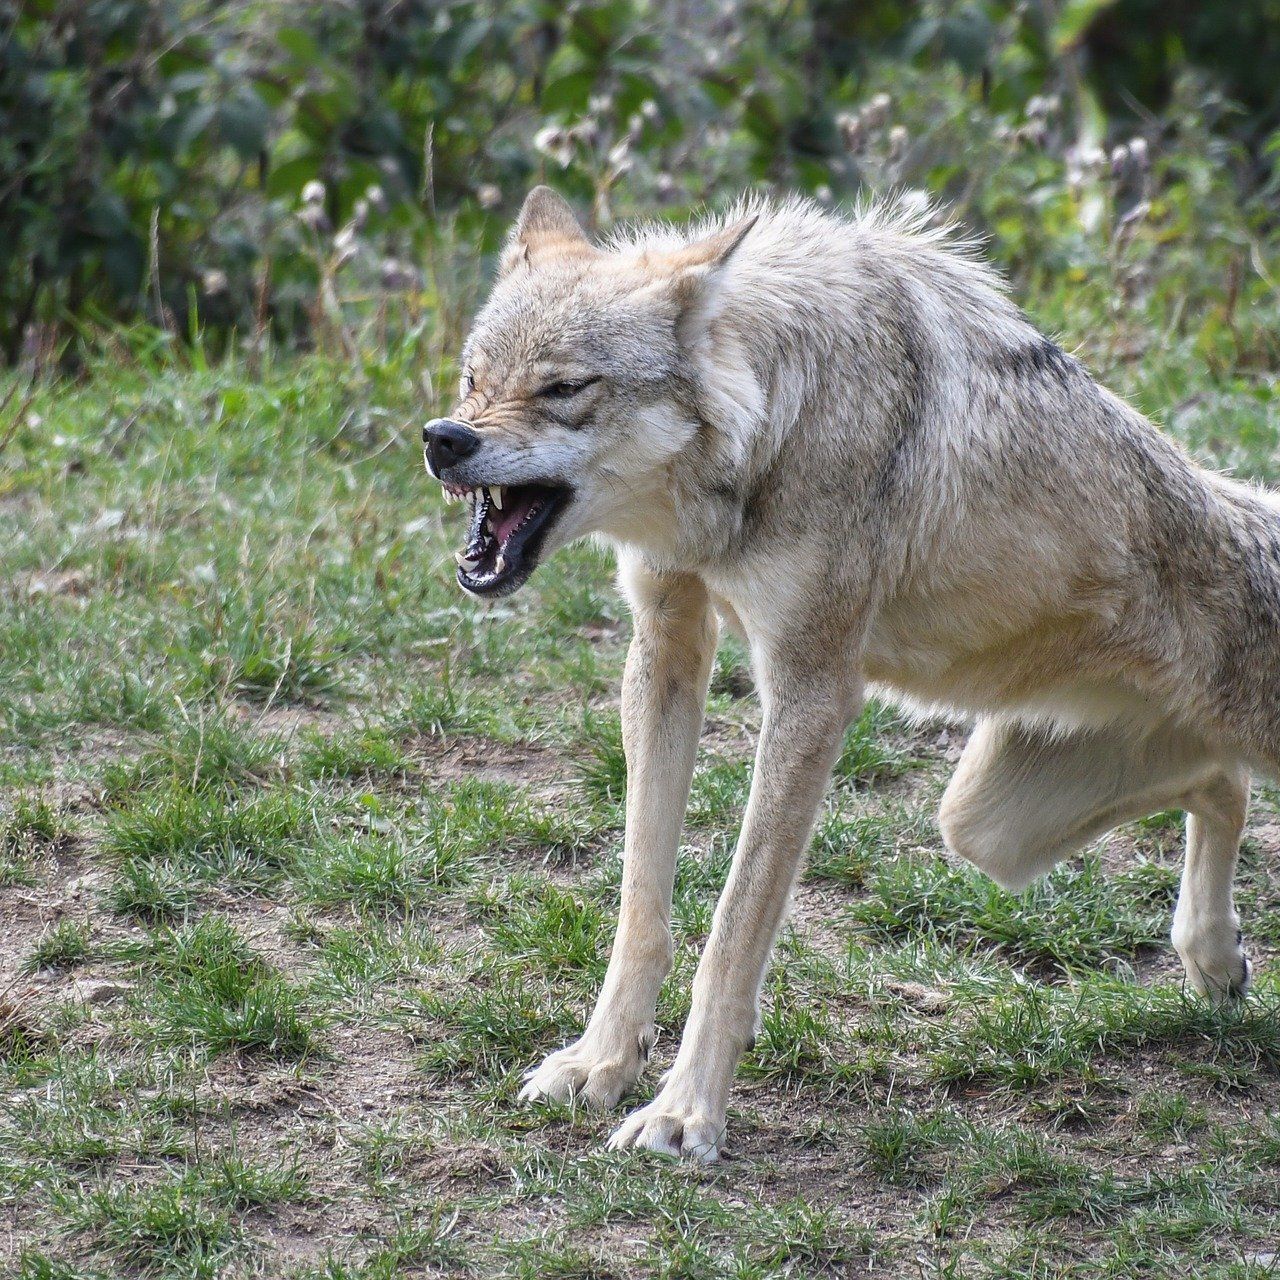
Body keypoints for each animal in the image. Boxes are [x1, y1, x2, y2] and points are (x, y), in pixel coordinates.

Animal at [424, 186, 1274, 1162]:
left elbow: (733, 930)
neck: (771, 425)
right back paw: (1214, 958)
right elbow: (641, 904)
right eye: (473, 379)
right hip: (984, 826)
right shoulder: (664, 645)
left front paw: (686, 1114)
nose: (443, 439)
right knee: (1219, 783)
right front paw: (599, 1062)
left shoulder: (813, 689)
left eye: (563, 388)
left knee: (1226, 778)